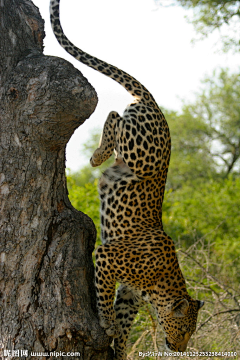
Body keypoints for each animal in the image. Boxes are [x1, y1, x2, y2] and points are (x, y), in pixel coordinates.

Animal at [49, 0, 203, 360]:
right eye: (184, 330)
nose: (179, 347)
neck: (162, 282)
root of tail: (157, 105)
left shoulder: (131, 293)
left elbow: (124, 319)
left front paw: (118, 345)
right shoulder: (107, 257)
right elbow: (105, 297)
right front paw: (104, 323)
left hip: (136, 152)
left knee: (117, 117)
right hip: (143, 154)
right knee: (114, 116)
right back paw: (96, 156)